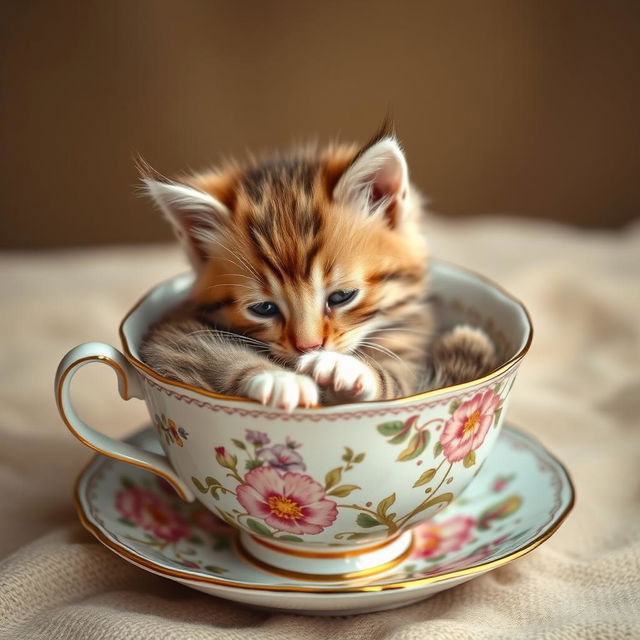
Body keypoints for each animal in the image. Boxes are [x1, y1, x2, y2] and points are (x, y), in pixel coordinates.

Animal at [140, 126, 496, 410]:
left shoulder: (411, 355)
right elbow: (211, 353)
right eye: (264, 308)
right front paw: (281, 380)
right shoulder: (171, 336)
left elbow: (397, 383)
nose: (309, 348)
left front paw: (348, 369)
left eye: (342, 297)